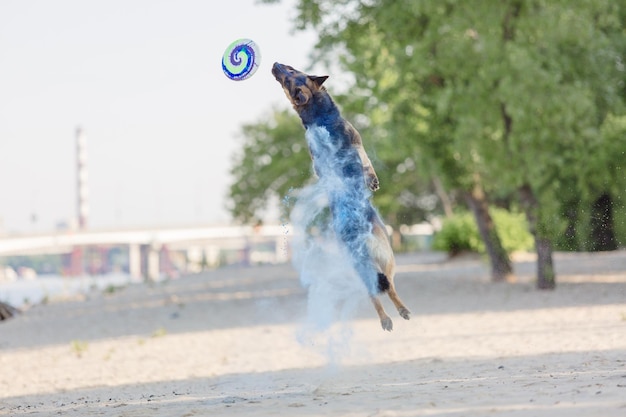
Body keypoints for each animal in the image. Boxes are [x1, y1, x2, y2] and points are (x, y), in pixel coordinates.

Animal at [270, 61, 410, 330]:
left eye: (290, 71)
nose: (274, 64)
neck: (318, 114)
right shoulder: (348, 147)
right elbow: (362, 162)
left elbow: (363, 163)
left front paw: (371, 180)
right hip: (382, 262)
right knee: (383, 290)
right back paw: (392, 315)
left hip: (376, 264)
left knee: (384, 289)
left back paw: (396, 312)